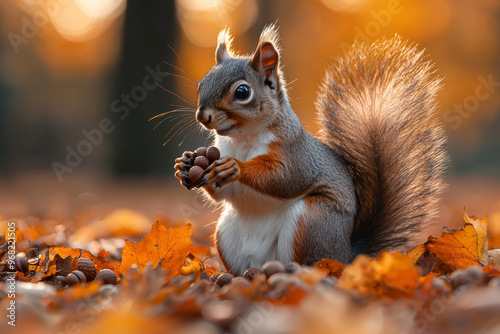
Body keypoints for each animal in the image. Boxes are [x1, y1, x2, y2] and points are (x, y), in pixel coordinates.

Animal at [174, 25, 448, 276]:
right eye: (201, 84)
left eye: (242, 92)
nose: (202, 116)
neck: (243, 139)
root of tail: (349, 255)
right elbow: (223, 193)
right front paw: (186, 165)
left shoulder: (297, 155)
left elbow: (286, 178)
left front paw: (235, 166)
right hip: (226, 234)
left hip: (312, 222)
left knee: (312, 264)